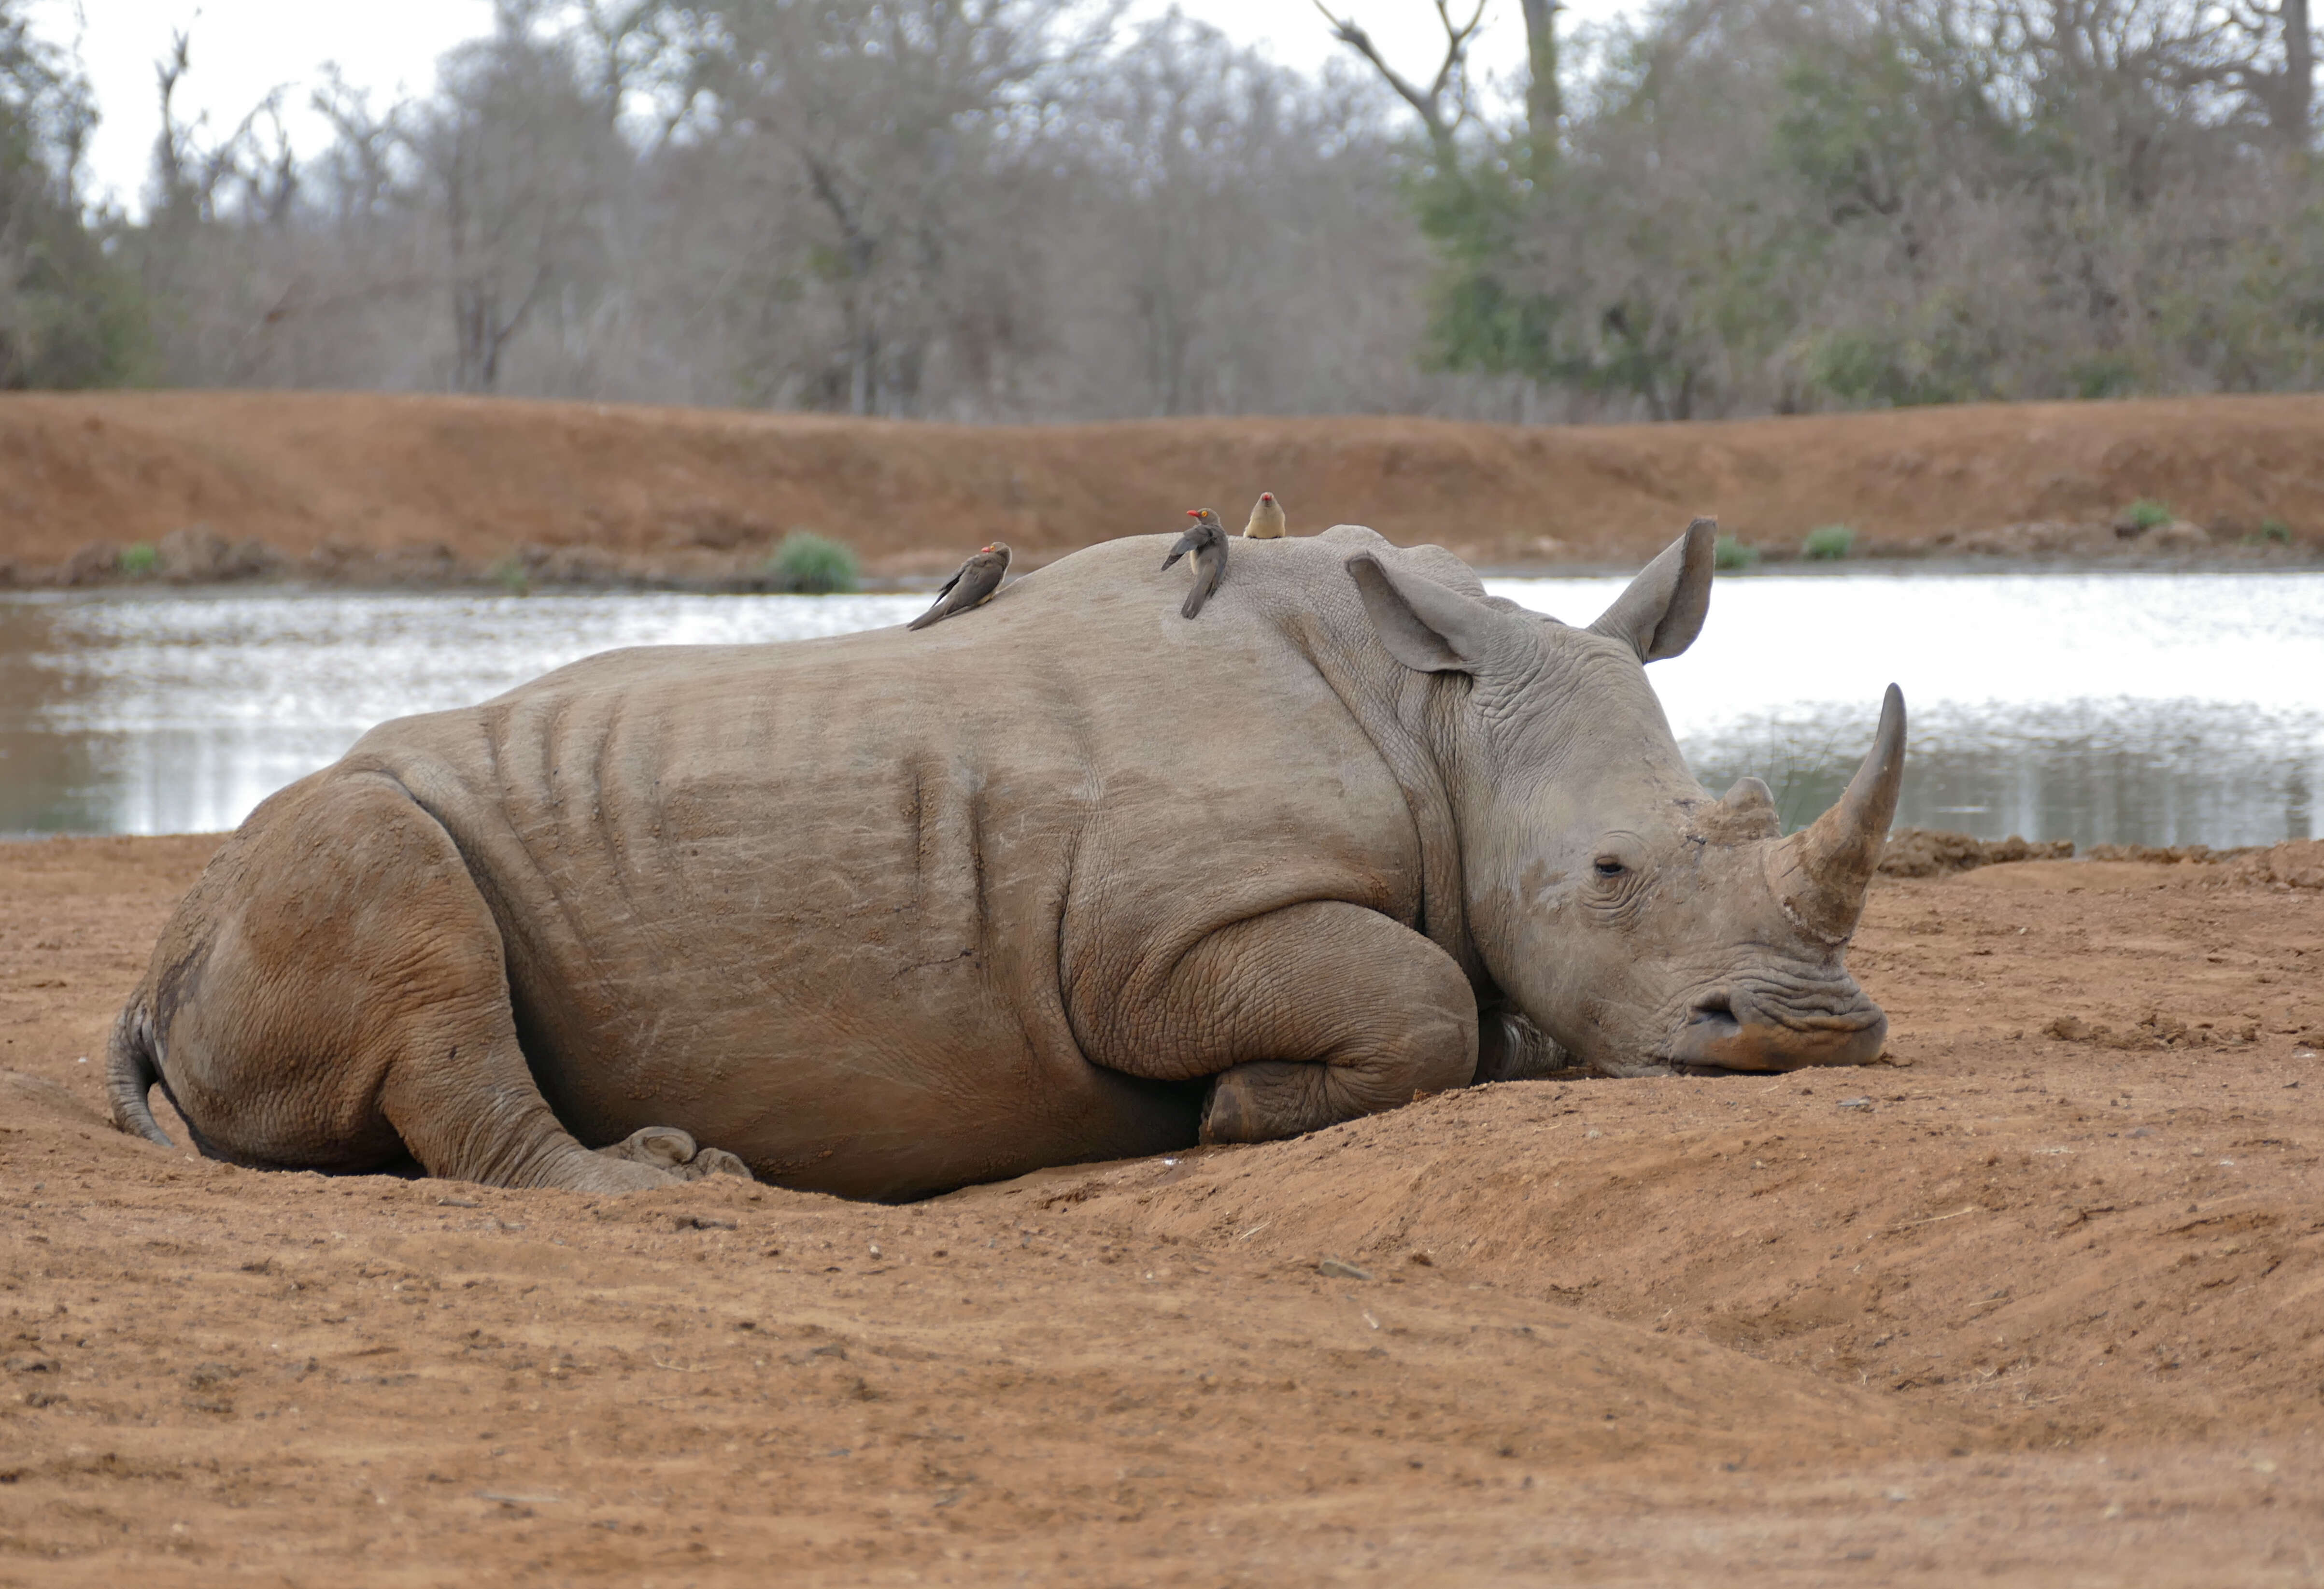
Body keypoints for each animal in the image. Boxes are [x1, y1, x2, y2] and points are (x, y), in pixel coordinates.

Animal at [104, 518, 1905, 1189]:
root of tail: (153, 968)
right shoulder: (1154, 945)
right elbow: (1419, 1001)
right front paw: (1226, 1113)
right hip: (315, 847)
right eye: (1607, 876)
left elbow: (1471, 1000)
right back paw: (671, 1182)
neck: (1441, 715)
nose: (1811, 1037)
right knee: (392, 887)